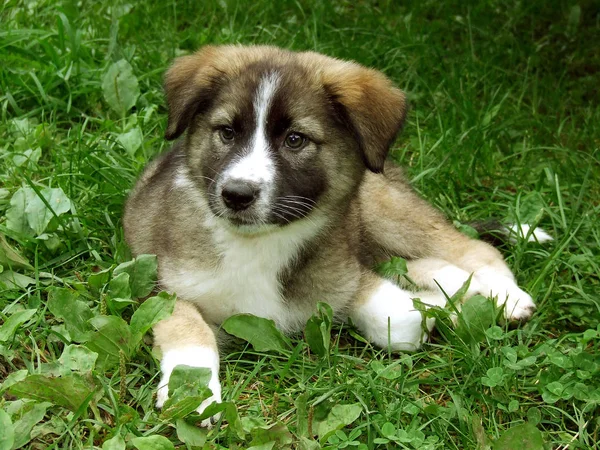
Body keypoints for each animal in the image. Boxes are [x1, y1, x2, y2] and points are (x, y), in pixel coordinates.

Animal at [122, 45, 544, 426]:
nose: (236, 195)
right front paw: (192, 394)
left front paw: (446, 308)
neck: (258, 243)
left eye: (295, 139)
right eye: (226, 132)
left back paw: (505, 296)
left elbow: (400, 319)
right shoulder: (164, 289)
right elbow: (190, 331)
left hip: (381, 208)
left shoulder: (341, 274)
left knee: (470, 246)